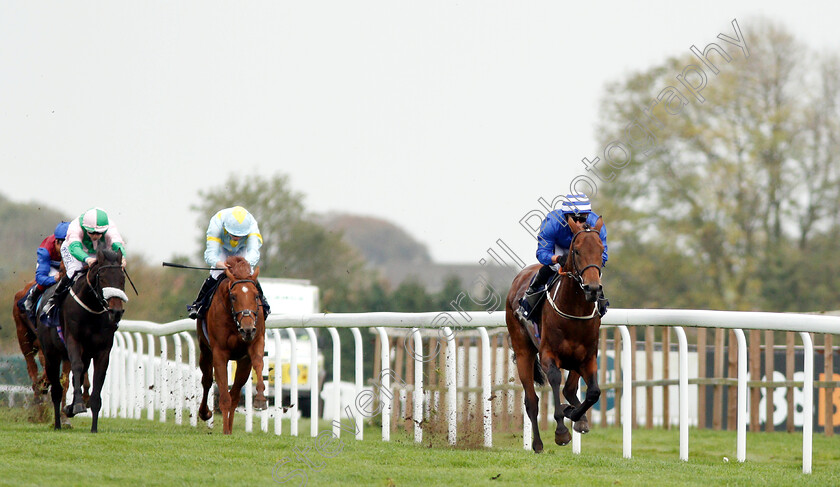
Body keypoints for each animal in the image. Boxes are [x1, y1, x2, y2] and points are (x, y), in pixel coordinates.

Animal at [37, 250, 127, 432]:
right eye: (103, 279)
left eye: (122, 279)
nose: (116, 312)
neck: (92, 310)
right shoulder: (73, 341)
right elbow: (76, 368)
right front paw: (78, 405)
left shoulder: (103, 350)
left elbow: (97, 379)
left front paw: (94, 427)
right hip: (51, 354)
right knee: (56, 390)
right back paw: (58, 424)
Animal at [196, 255, 266, 434]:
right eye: (233, 296)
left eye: (256, 296)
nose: (247, 329)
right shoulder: (219, 353)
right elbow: (223, 393)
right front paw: (225, 431)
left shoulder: (252, 346)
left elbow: (258, 363)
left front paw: (261, 398)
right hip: (205, 350)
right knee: (207, 380)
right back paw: (205, 413)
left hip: (242, 362)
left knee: (234, 394)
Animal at [506, 217, 604, 454]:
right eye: (576, 251)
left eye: (601, 249)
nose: (593, 288)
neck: (574, 311)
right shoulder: (548, 355)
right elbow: (555, 380)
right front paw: (561, 431)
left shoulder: (587, 357)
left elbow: (593, 392)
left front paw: (575, 415)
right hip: (523, 351)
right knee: (532, 401)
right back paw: (538, 444)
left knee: (569, 389)